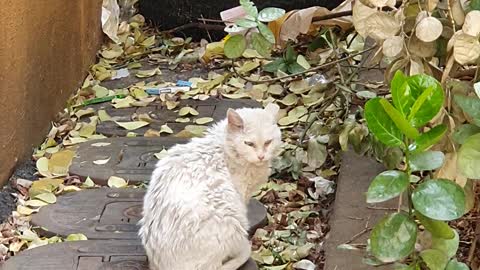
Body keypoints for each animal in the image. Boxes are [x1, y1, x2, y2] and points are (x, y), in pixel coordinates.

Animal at [139, 104, 282, 270]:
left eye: (268, 142)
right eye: (249, 144)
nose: (261, 156)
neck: (225, 146)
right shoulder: (241, 194)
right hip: (230, 216)